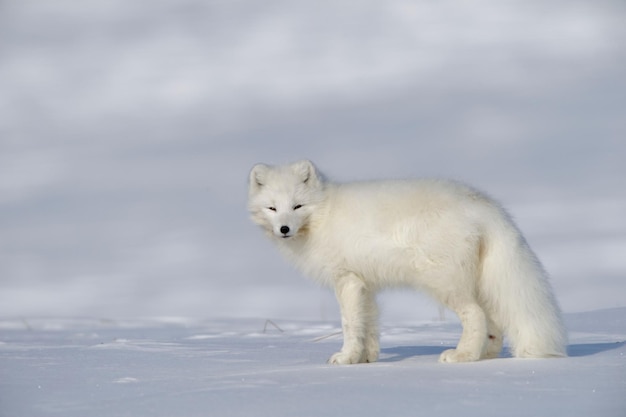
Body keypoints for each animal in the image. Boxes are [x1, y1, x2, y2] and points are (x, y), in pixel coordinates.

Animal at [247, 161, 564, 362]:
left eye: (297, 206)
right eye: (272, 208)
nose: (284, 229)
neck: (323, 215)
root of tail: (484, 204)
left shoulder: (346, 280)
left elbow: (350, 324)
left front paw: (345, 358)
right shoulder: (365, 284)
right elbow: (369, 323)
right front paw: (366, 358)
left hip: (444, 282)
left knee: (475, 314)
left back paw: (462, 356)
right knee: (492, 319)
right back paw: (485, 355)